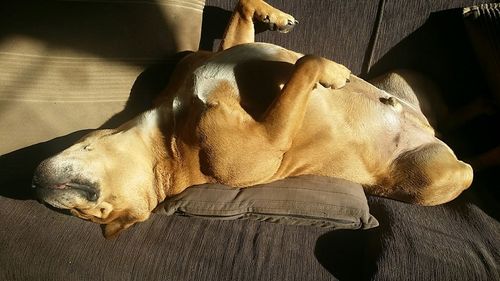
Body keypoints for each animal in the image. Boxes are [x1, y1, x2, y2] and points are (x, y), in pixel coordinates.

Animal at [32, 0, 472, 237]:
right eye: (91, 216)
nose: (34, 185)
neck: (167, 137)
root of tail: (430, 131)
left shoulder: (225, 54)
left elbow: (243, 14)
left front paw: (275, 18)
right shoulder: (271, 137)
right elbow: (306, 65)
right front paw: (332, 72)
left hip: (405, 78)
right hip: (436, 180)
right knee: (465, 166)